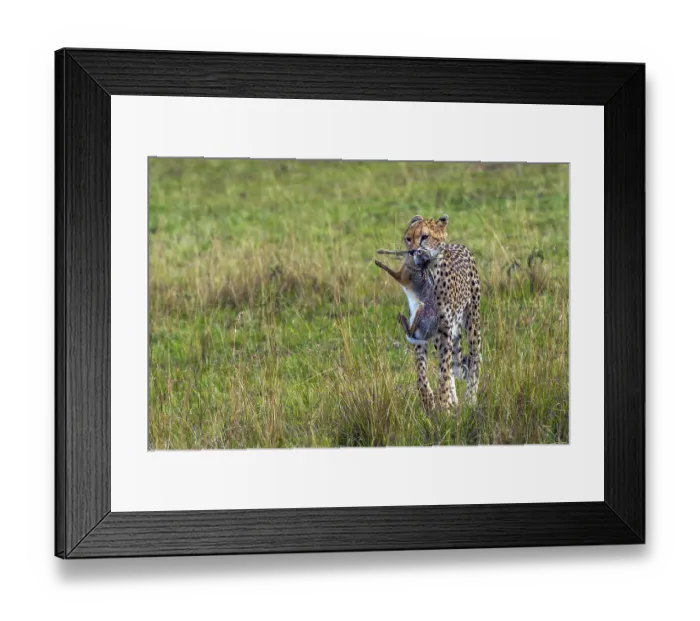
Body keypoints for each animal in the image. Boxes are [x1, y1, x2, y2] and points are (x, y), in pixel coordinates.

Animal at [402, 214, 482, 411]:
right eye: (408, 238)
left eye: (424, 237)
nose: (412, 252)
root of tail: (460, 246)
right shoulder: (419, 330)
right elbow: (422, 372)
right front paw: (429, 400)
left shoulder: (446, 329)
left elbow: (445, 371)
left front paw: (444, 402)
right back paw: (454, 401)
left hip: (472, 325)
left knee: (474, 360)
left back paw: (470, 399)